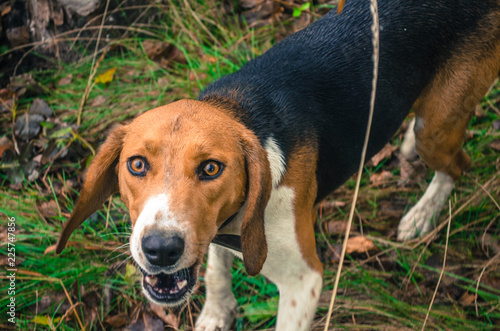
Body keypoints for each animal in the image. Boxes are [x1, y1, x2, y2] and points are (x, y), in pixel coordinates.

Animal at [55, 1, 500, 330]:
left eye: (211, 169)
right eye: (136, 164)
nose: (161, 249)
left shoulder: (304, 281)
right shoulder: (218, 233)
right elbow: (216, 268)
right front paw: (217, 312)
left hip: (436, 127)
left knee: (457, 165)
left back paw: (422, 214)